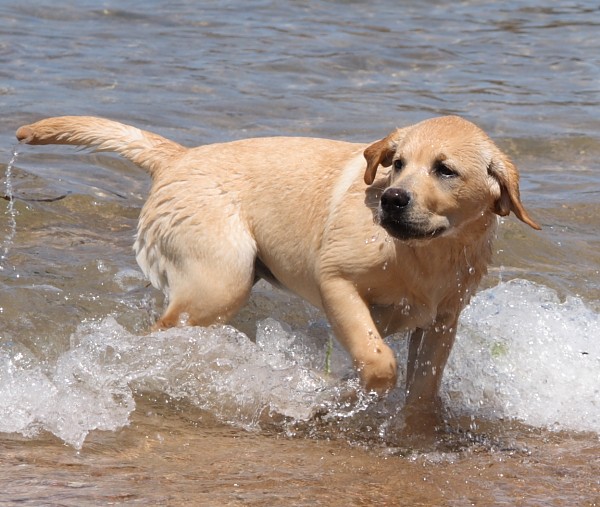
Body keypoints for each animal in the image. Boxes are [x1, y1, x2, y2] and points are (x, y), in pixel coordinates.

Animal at [16, 116, 540, 428]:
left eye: (445, 170)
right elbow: (378, 362)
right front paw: (337, 397)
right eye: (396, 163)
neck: (426, 253)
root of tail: (180, 157)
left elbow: (423, 388)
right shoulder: (336, 282)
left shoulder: (443, 319)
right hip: (220, 283)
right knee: (156, 337)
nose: (392, 199)